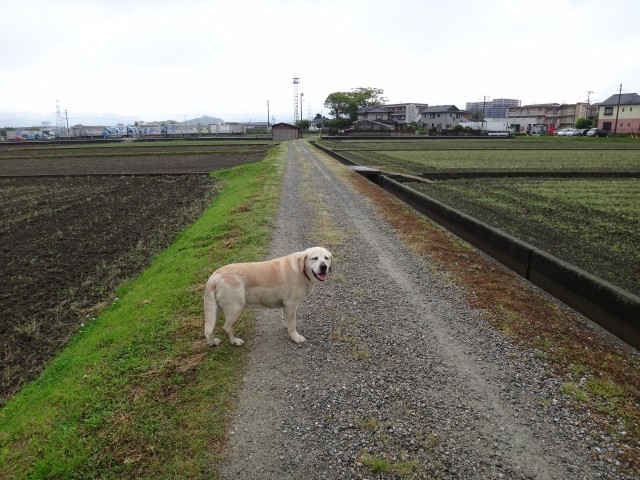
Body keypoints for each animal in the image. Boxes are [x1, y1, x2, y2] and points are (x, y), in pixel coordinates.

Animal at [205, 248, 336, 344]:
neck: (302, 270)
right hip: (236, 307)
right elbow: (293, 323)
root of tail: (214, 276)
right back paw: (235, 341)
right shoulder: (291, 304)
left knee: (209, 331)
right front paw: (295, 336)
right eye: (314, 258)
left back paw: (213, 342)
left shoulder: (286, 305)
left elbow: (286, 319)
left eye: (326, 258)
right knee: (226, 328)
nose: (324, 267)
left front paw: (287, 327)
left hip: (215, 309)